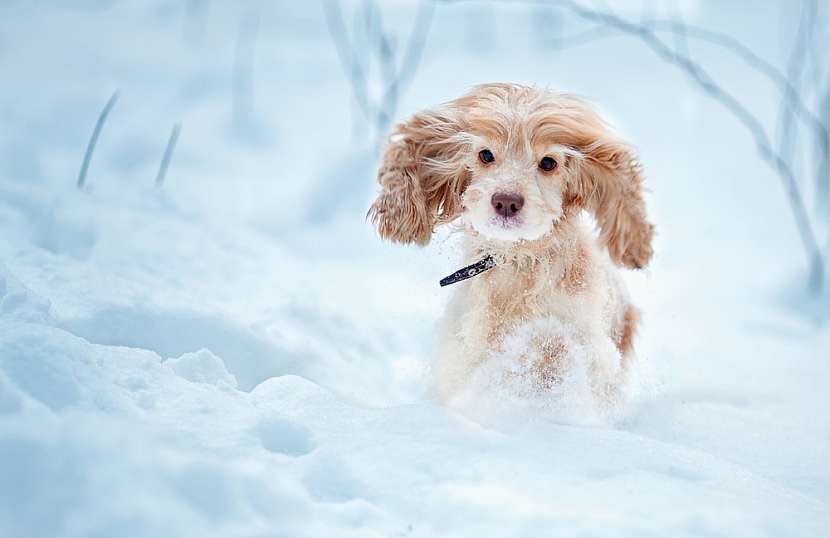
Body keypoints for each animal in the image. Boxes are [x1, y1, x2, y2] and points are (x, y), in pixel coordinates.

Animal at [370, 81, 656, 404]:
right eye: (485, 155)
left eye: (548, 162)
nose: (506, 201)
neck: (519, 262)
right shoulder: (463, 354)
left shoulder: (592, 346)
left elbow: (551, 340)